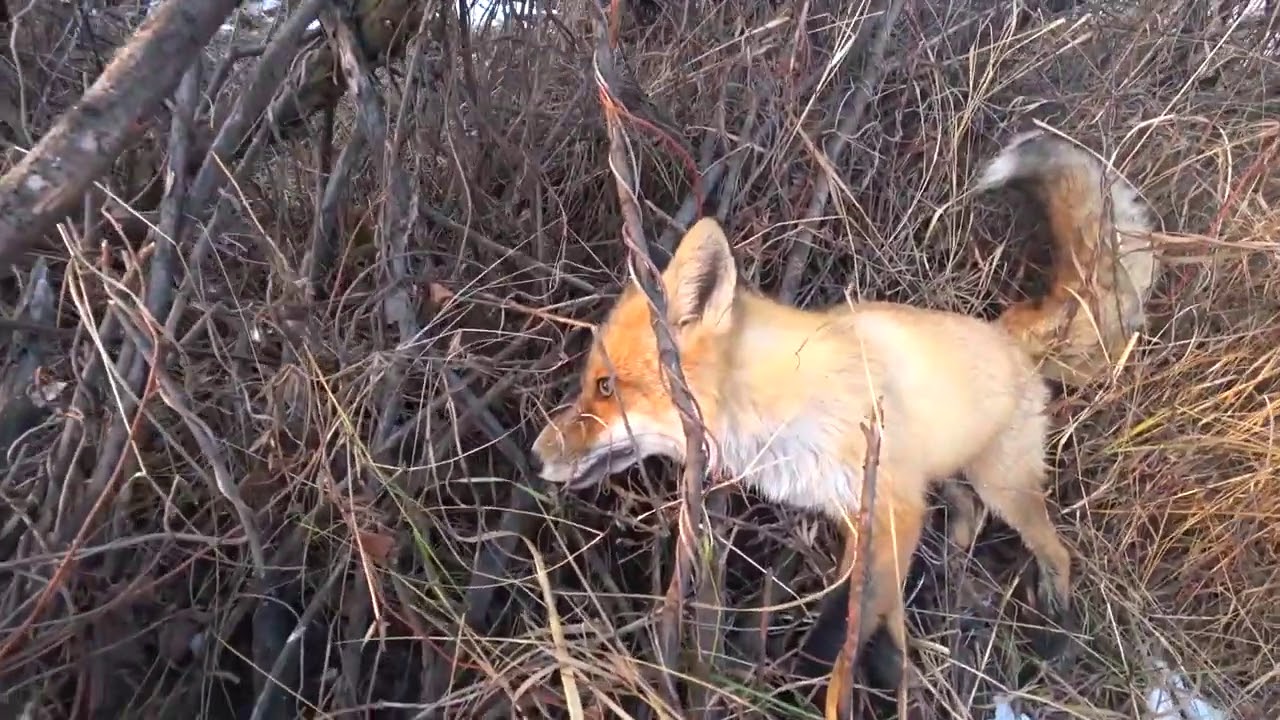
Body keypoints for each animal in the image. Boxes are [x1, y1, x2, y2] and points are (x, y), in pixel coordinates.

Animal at [527, 127, 1162, 696]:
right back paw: (945, 579)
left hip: (1005, 484)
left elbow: (842, 624)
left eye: (605, 387)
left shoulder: (890, 503)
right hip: (951, 474)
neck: (786, 402)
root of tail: (1009, 333)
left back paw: (1055, 634)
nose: (534, 456)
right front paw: (883, 668)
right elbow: (866, 610)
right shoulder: (857, 514)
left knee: (1055, 550)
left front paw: (814, 681)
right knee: (965, 516)